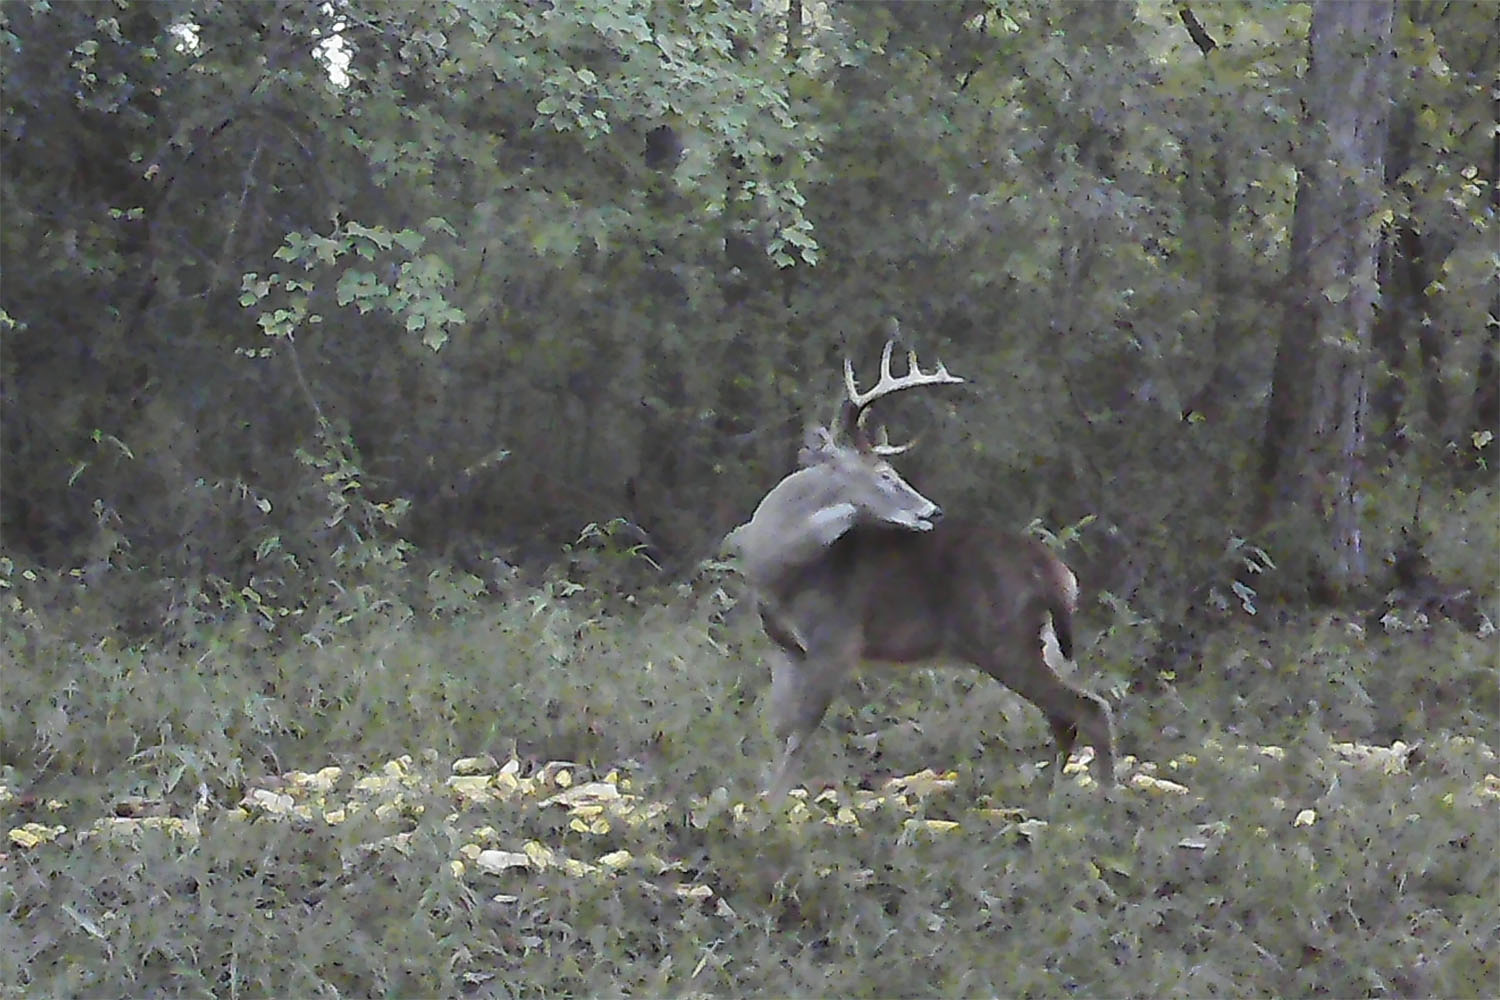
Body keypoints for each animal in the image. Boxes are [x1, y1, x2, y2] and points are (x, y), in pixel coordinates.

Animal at [726, 340, 1116, 803]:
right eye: (884, 474)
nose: (933, 511)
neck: (780, 565)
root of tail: (1057, 572)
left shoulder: (837, 642)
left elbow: (799, 734)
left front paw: (773, 808)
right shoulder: (784, 648)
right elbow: (778, 727)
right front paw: (763, 801)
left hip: (1006, 641)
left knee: (1089, 708)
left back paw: (1105, 801)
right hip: (1043, 644)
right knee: (1065, 718)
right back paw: (1054, 798)